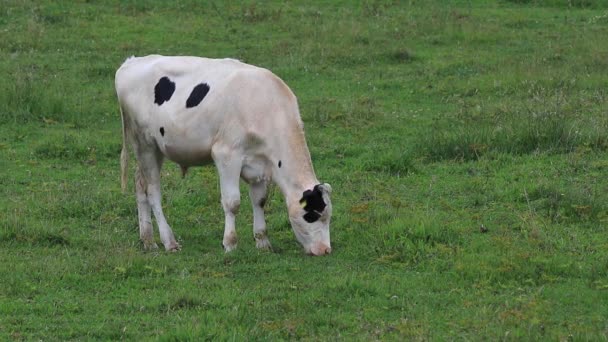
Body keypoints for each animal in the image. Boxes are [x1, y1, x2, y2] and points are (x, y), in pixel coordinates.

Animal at [114, 54, 332, 255]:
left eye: (328, 216)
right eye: (311, 215)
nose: (325, 250)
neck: (265, 104)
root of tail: (131, 62)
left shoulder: (260, 163)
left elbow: (260, 200)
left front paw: (262, 241)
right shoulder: (226, 155)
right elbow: (232, 202)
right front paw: (230, 243)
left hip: (152, 149)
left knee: (140, 185)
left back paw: (148, 240)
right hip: (145, 144)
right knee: (153, 192)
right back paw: (169, 241)